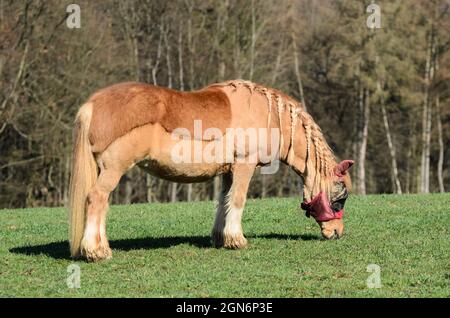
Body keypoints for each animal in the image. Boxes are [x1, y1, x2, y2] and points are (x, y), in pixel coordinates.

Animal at [68, 79, 354, 260]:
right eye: (340, 199)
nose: (337, 233)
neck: (268, 115)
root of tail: (92, 104)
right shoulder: (244, 165)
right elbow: (237, 200)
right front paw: (237, 240)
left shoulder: (228, 170)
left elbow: (224, 201)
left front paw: (221, 238)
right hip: (113, 169)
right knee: (96, 199)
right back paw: (96, 252)